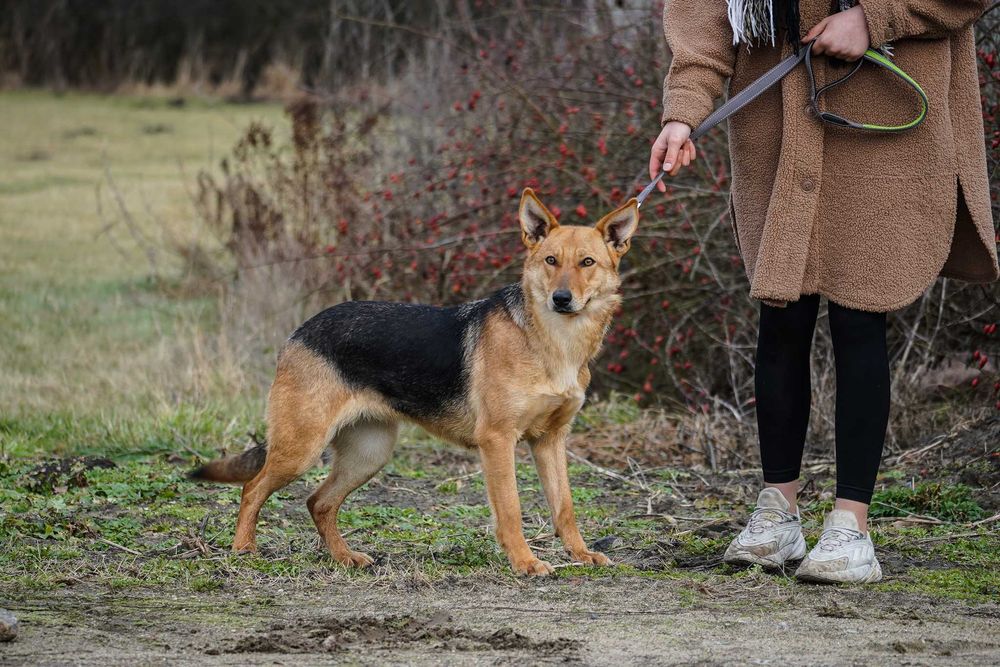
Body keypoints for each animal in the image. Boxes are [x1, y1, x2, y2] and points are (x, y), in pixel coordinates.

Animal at [192, 188, 639, 575]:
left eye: (587, 263)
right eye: (550, 260)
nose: (561, 299)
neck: (554, 341)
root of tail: (301, 329)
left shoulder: (550, 441)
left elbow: (564, 508)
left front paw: (580, 554)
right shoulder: (498, 441)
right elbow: (511, 510)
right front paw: (525, 562)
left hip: (368, 453)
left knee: (319, 502)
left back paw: (345, 557)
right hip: (301, 448)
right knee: (253, 488)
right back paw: (244, 549)